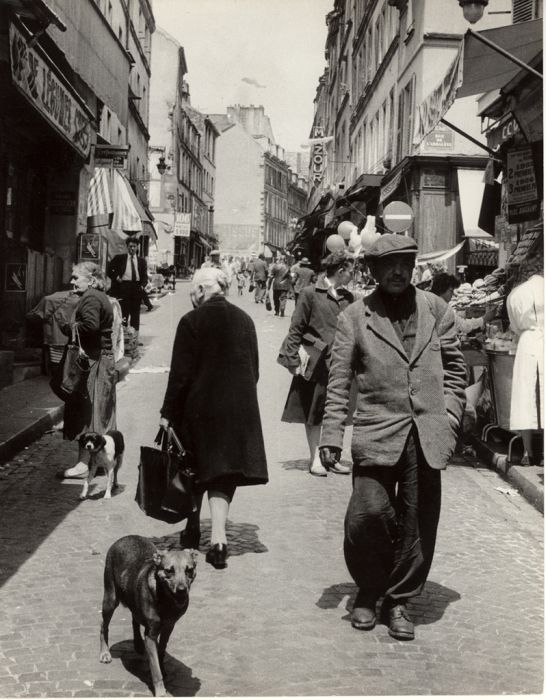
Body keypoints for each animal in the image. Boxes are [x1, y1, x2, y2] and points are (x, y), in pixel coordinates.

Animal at [99, 536, 197, 696]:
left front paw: (162, 667)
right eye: (169, 571)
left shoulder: (168, 627)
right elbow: (154, 667)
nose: (182, 590)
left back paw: (138, 644)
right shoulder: (151, 635)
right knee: (103, 625)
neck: (165, 600)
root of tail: (124, 538)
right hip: (110, 598)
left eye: (189, 570)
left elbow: (161, 651)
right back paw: (104, 653)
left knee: (134, 619)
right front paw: (160, 690)